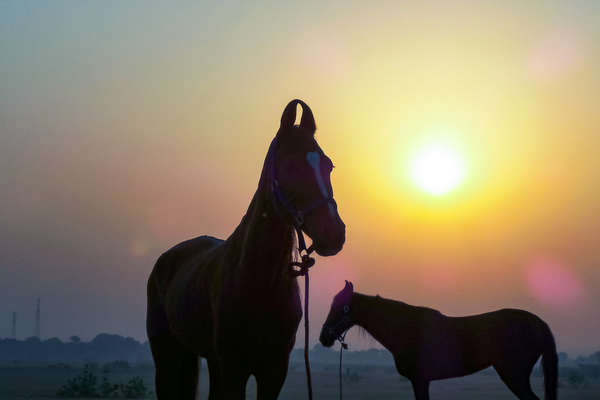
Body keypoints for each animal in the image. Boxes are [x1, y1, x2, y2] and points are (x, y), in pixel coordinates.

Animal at [146, 98, 346, 398]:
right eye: (291, 167)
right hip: (168, 356)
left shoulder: (274, 370)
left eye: (328, 166)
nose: (334, 233)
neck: (260, 280)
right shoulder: (233, 368)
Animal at [322, 282, 560, 400]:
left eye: (340, 307)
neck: (406, 328)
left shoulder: (420, 380)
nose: (323, 337)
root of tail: (539, 323)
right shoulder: (421, 381)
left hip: (514, 376)